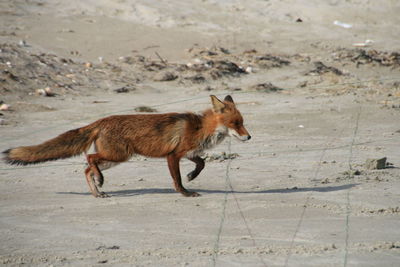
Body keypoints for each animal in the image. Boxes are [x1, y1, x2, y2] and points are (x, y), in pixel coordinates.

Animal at [3, 95, 250, 198]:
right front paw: (185, 192)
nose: (249, 137)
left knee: (87, 168)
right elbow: (177, 179)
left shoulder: (187, 153)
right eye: (235, 124)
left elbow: (202, 163)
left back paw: (97, 192)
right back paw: (100, 181)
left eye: (242, 122)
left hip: (115, 158)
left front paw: (192, 176)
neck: (200, 128)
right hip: (118, 155)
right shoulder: (172, 156)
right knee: (90, 160)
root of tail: (101, 121)